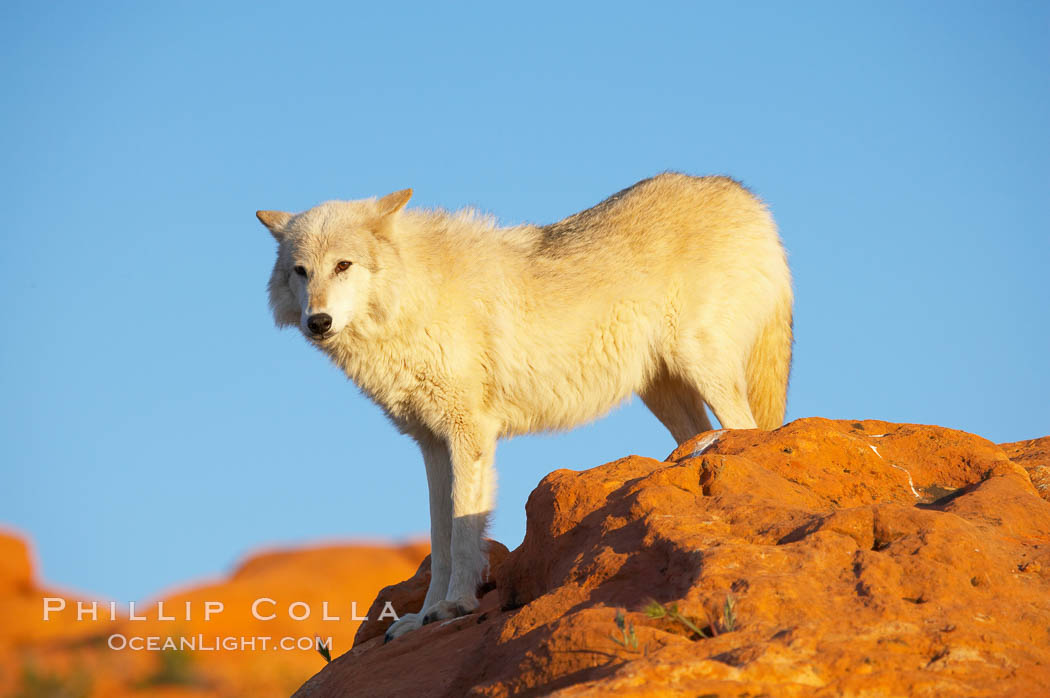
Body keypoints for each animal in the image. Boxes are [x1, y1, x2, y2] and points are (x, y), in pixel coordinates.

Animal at [258, 171, 789, 638]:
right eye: (301, 272)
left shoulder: (468, 433)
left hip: (702, 367)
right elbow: (440, 541)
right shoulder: (432, 445)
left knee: (746, 428)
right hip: (663, 390)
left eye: (343, 266)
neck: (411, 298)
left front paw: (455, 606)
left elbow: (463, 534)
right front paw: (423, 616)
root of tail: (746, 198)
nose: (318, 322)